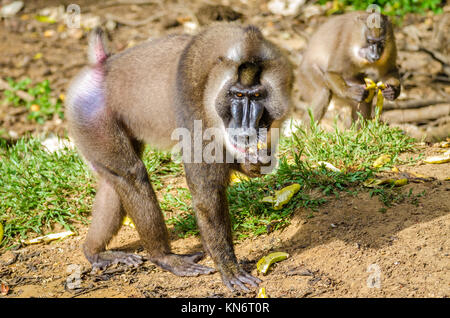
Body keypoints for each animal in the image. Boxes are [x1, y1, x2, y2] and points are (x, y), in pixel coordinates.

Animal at [65, 24, 294, 294]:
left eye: (257, 96)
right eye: (237, 95)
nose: (245, 128)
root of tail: (102, 66)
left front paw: (256, 161)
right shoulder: (195, 106)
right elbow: (206, 192)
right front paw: (229, 268)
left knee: (113, 183)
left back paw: (95, 252)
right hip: (91, 117)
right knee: (132, 175)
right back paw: (163, 257)